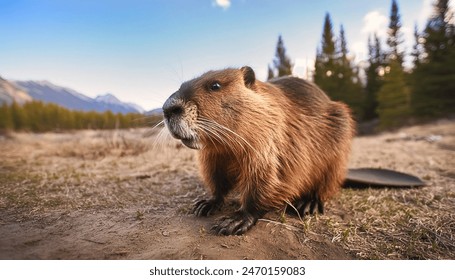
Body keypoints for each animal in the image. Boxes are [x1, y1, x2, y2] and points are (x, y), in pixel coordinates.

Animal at [163, 66, 356, 235]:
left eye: (215, 85)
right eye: (181, 85)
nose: (168, 108)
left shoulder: (274, 144)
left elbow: (267, 180)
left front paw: (233, 221)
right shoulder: (213, 156)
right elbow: (216, 180)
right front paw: (204, 204)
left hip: (337, 148)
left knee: (327, 182)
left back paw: (309, 204)